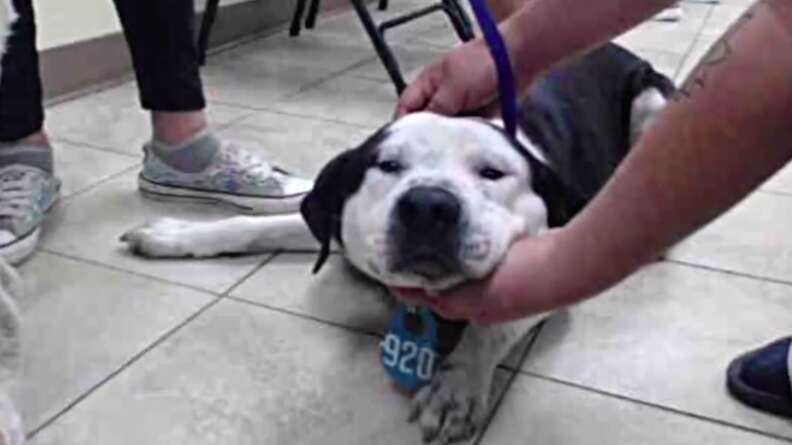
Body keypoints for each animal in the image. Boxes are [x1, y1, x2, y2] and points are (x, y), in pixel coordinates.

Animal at [120, 44, 672, 440]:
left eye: (493, 173)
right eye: (388, 165)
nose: (429, 206)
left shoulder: (550, 262)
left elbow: (491, 325)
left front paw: (458, 382)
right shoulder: (340, 223)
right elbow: (252, 226)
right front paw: (177, 234)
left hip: (651, 98)